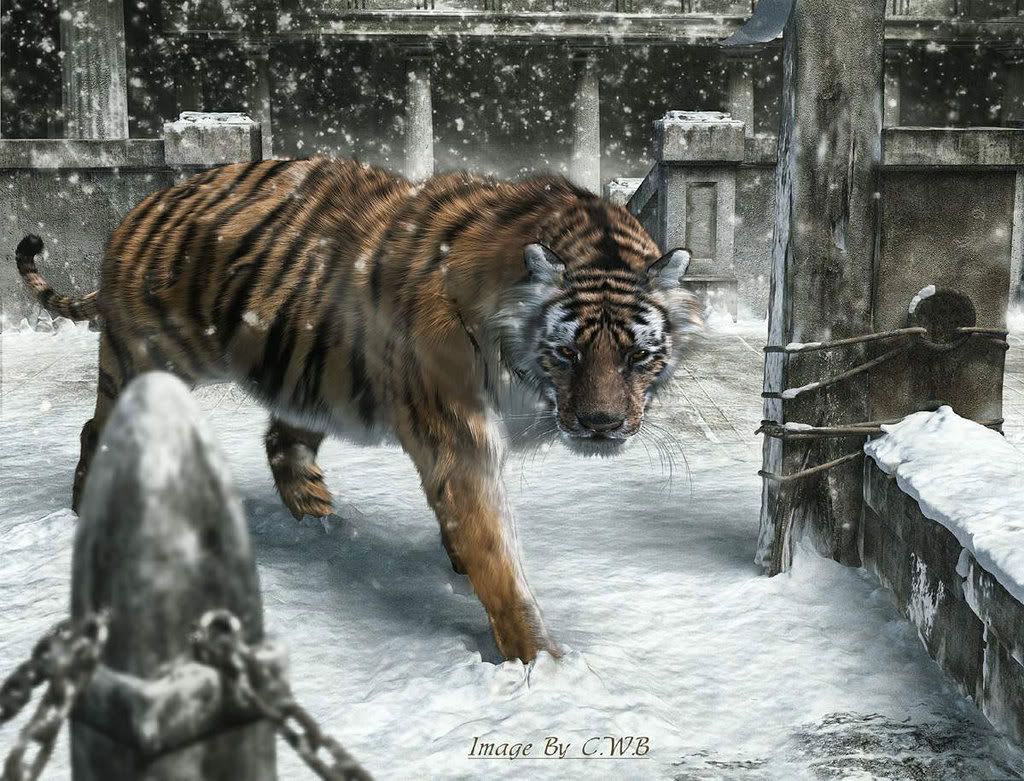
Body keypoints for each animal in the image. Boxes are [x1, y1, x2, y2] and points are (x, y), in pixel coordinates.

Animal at [15, 157, 700, 662]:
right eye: (567, 352)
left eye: (638, 356)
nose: (601, 426)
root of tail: (141, 205)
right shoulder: (461, 440)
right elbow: (497, 556)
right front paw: (543, 663)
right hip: (149, 358)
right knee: (96, 428)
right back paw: (88, 507)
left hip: (310, 378)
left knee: (281, 442)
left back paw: (321, 524)